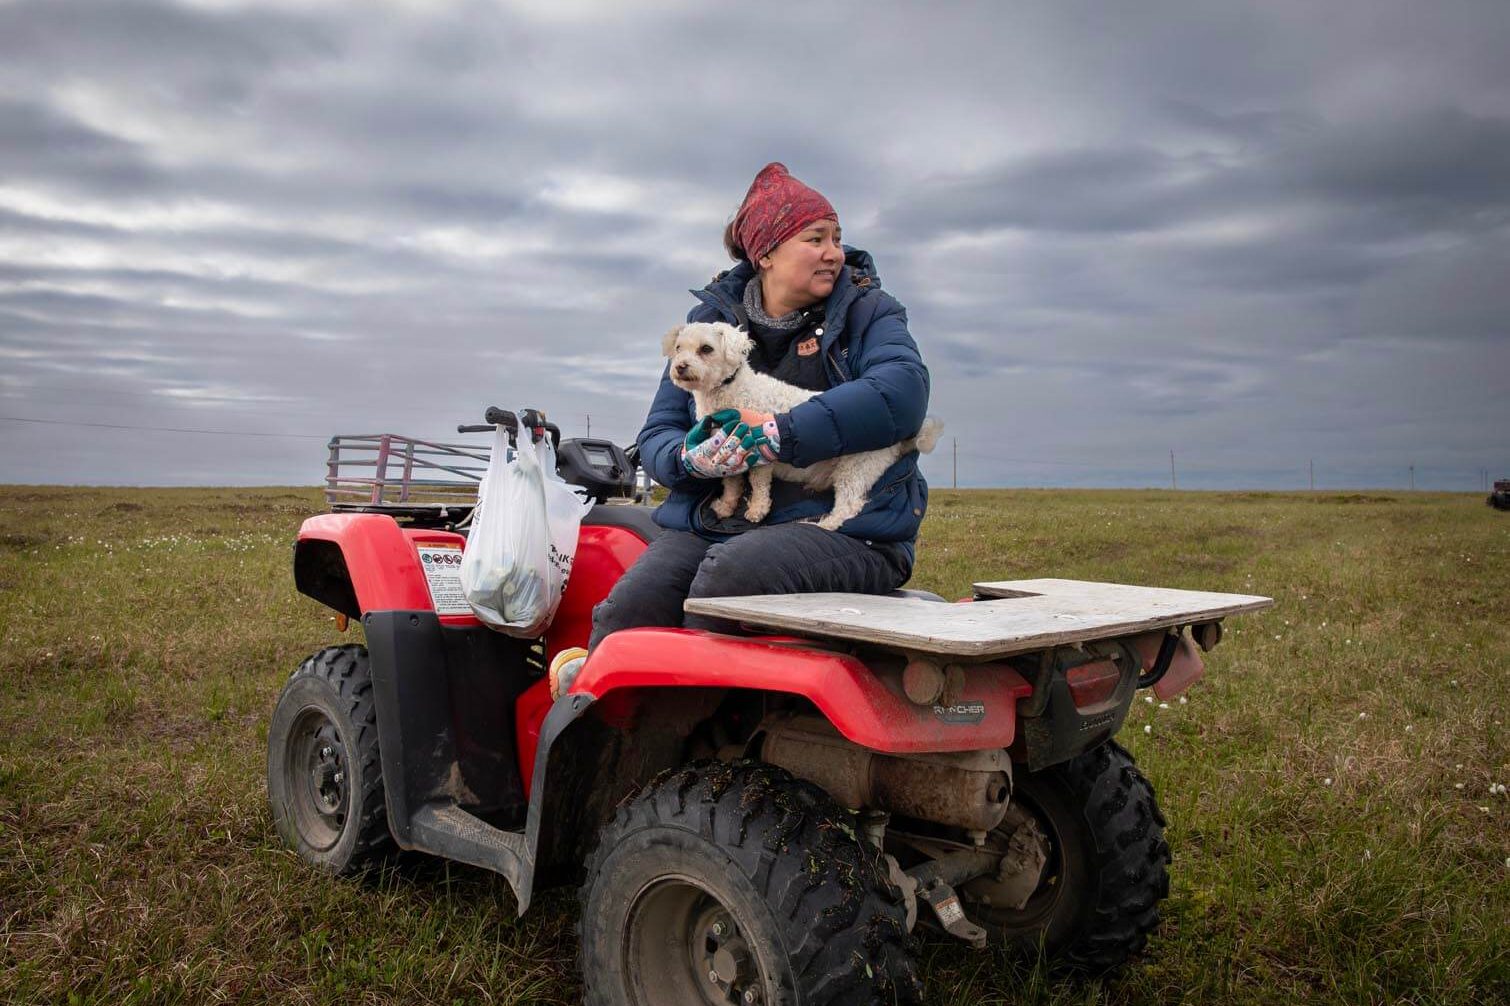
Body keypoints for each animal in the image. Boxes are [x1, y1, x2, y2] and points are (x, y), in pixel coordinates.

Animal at [664, 321, 936, 528]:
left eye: (706, 349)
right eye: (679, 348)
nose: (680, 367)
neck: (730, 389)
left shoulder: (758, 453)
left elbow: (758, 484)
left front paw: (757, 510)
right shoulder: (724, 456)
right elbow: (731, 483)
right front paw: (726, 506)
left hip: (856, 466)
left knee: (850, 505)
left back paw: (826, 524)